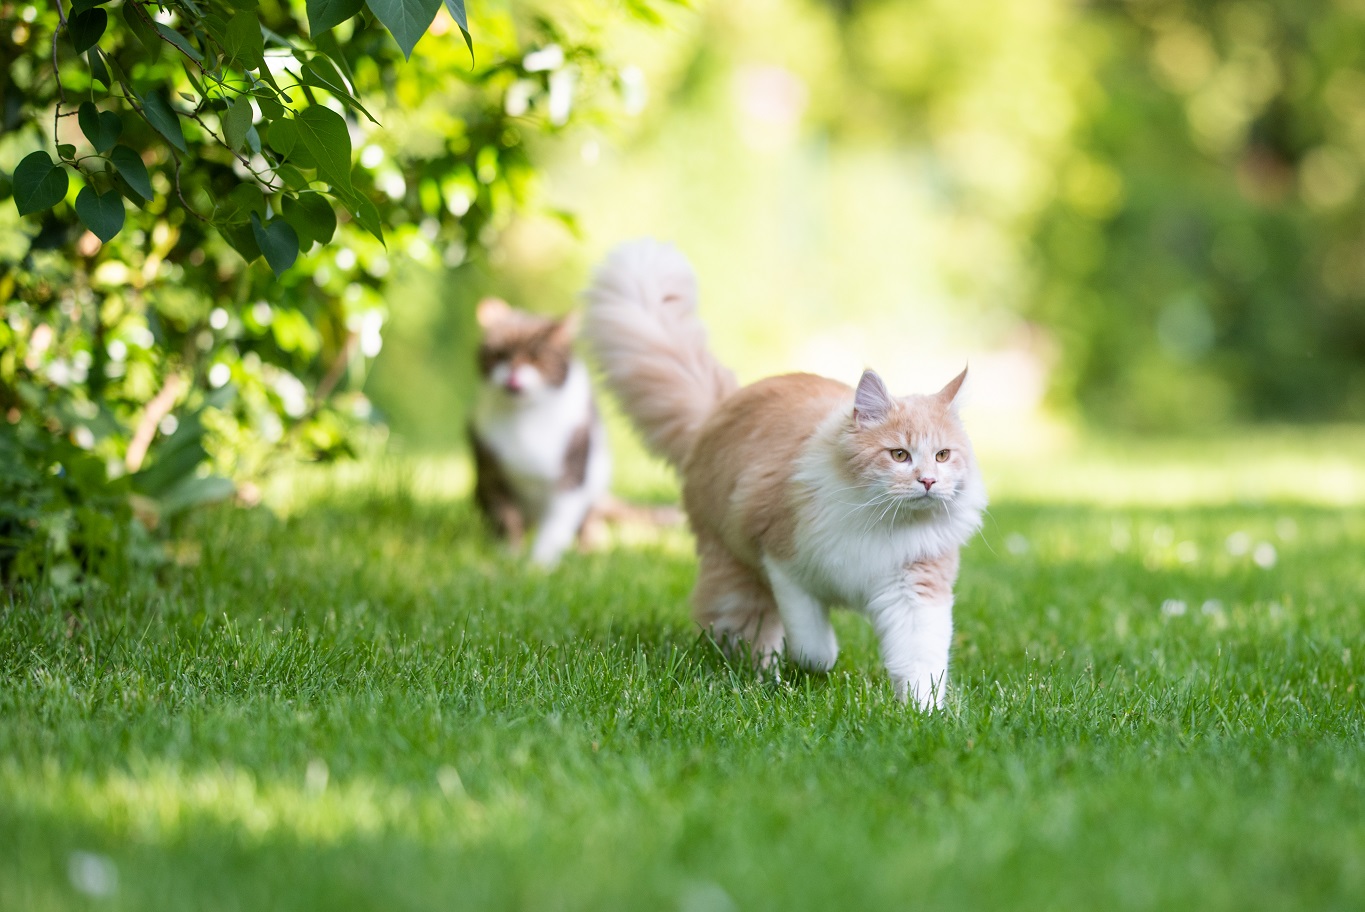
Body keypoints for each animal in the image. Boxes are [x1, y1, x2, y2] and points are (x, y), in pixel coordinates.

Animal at [475, 298, 614, 565]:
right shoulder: (490, 474)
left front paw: (540, 564)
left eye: (535, 356)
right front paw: (510, 555)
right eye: (500, 355)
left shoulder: (572, 474)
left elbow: (555, 527)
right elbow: (508, 519)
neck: (526, 416)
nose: (512, 373)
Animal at [581, 238, 988, 709]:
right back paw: (762, 677)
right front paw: (815, 668)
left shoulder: (914, 591)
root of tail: (721, 408)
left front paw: (923, 713)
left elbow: (921, 663)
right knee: (740, 630)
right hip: (738, 576)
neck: (881, 523)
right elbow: (815, 645)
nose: (927, 481)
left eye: (942, 455)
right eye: (900, 455)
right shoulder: (784, 565)